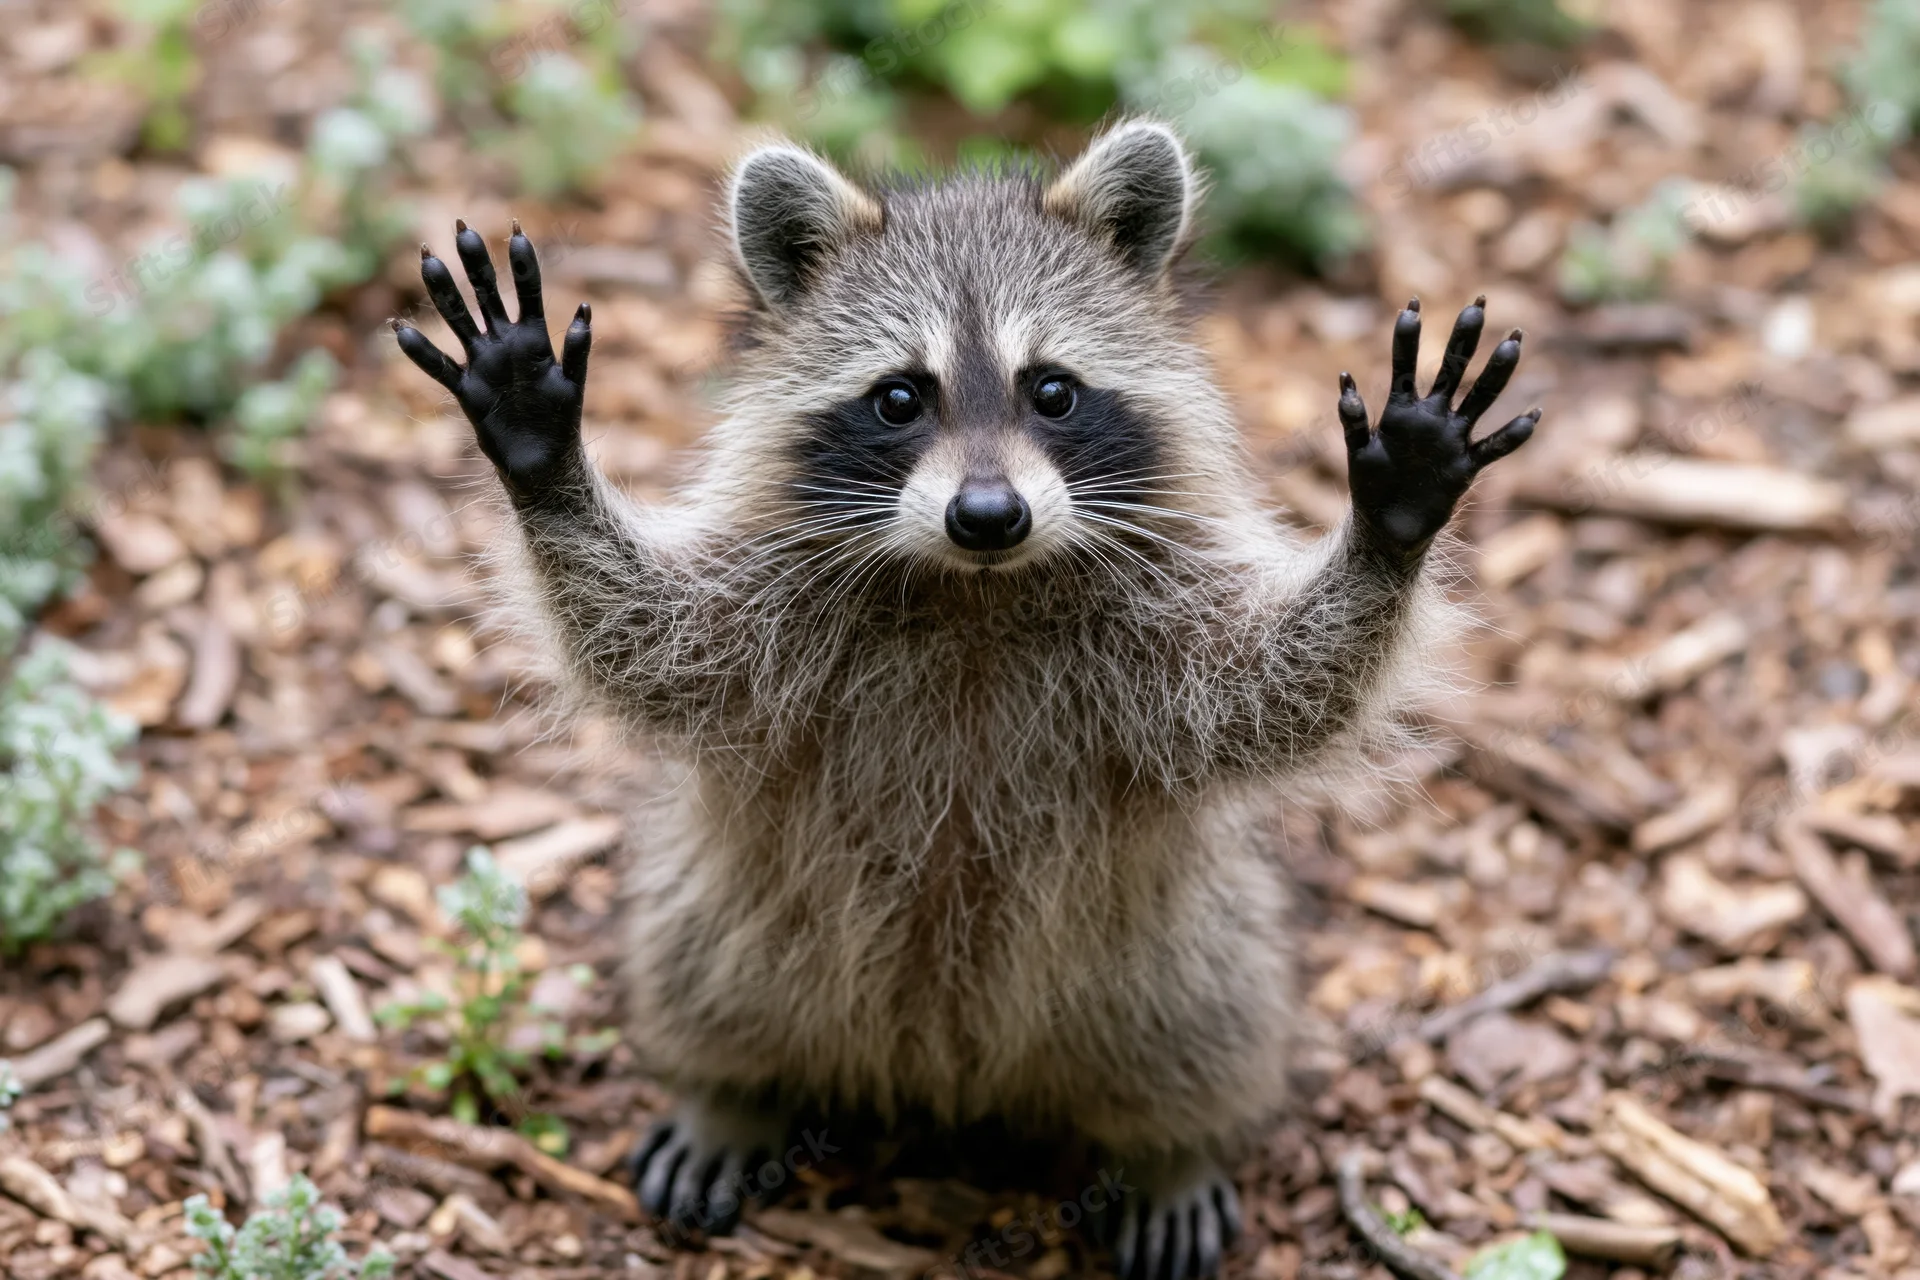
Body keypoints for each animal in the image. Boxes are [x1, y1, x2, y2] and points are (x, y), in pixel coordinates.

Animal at [396, 121, 1539, 1280]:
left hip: (1178, 937)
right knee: (705, 965)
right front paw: (543, 455)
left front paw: (1391, 523)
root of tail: (951, 1077)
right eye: (901, 398)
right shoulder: (765, 615)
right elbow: (647, 639)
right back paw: (729, 1090)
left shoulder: (1159, 635)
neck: (976, 589)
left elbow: (1273, 688)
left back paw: (1172, 1146)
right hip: (738, 903)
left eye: (1053, 391)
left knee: (1207, 1015)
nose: (988, 513)